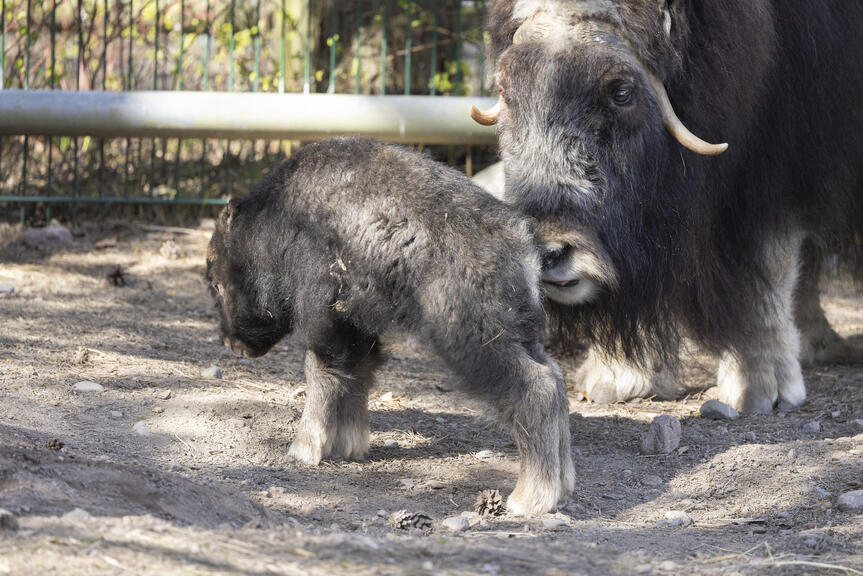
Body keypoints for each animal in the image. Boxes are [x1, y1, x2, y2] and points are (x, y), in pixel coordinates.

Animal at [206, 137, 576, 516]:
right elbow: (355, 375)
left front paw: (304, 448)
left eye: (217, 281)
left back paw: (530, 498)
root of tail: (524, 242)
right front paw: (349, 446)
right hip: (524, 335)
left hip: (474, 340)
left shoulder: (324, 319)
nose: (230, 343)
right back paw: (563, 484)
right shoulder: (355, 325)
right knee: (556, 379)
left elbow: (321, 375)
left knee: (535, 387)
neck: (277, 216)